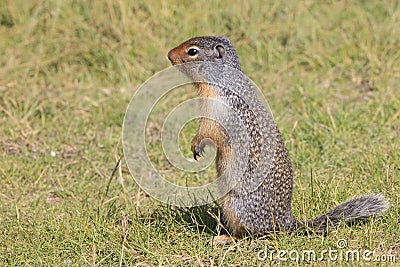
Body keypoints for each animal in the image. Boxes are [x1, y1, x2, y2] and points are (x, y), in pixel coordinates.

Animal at [167, 36, 390, 240]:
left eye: (193, 51)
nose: (169, 55)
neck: (220, 82)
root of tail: (286, 222)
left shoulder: (217, 111)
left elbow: (208, 131)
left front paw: (196, 145)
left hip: (235, 205)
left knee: (250, 233)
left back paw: (225, 238)